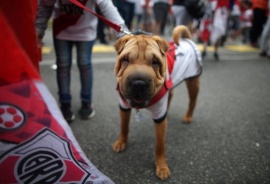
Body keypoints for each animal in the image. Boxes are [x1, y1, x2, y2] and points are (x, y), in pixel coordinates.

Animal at [110, 25, 201, 180]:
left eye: (155, 62)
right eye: (125, 60)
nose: (139, 83)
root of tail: (187, 39)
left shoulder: (159, 118)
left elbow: (160, 145)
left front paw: (161, 166)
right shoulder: (123, 107)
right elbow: (124, 126)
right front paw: (121, 142)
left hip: (193, 82)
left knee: (192, 101)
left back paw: (188, 116)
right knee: (171, 94)